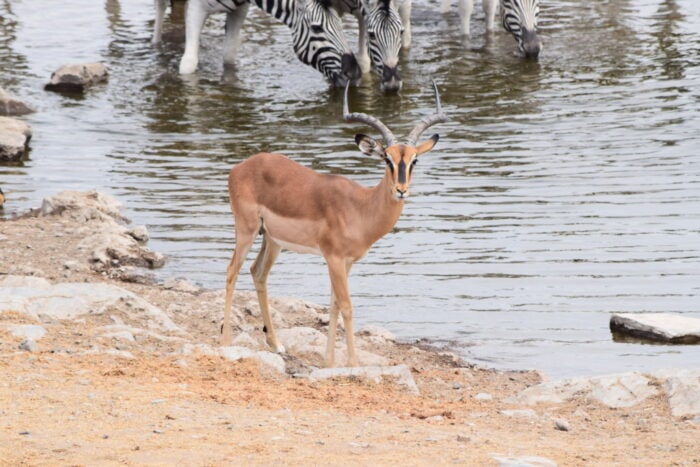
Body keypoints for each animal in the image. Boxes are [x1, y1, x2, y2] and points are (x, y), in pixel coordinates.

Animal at [222, 82, 448, 367]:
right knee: (232, 271)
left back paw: (276, 344)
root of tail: (239, 167)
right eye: (386, 158)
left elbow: (334, 305)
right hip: (247, 230)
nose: (401, 190)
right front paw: (353, 364)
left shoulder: (346, 262)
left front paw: (328, 361)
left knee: (258, 272)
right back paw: (226, 340)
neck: (361, 207)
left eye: (414, 160)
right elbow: (347, 306)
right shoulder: (334, 258)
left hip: (272, 240)